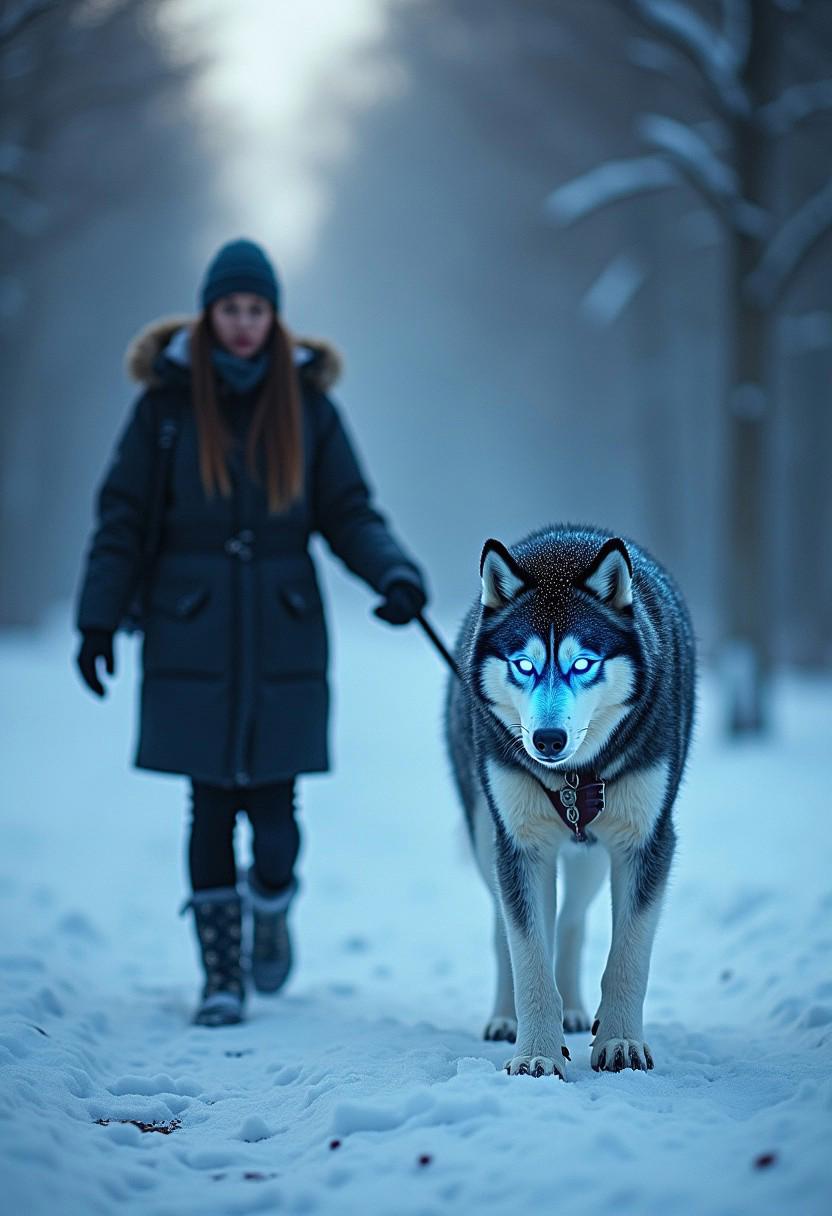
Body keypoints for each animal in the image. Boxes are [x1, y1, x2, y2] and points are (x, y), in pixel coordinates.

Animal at [447, 527, 695, 1079]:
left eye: (582, 663)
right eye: (524, 665)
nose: (547, 739)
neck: (574, 776)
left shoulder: (647, 840)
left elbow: (629, 955)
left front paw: (621, 1042)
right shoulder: (520, 845)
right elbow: (527, 955)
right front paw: (536, 1052)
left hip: (590, 855)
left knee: (573, 921)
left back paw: (579, 1011)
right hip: (485, 834)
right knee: (503, 926)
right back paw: (505, 1017)